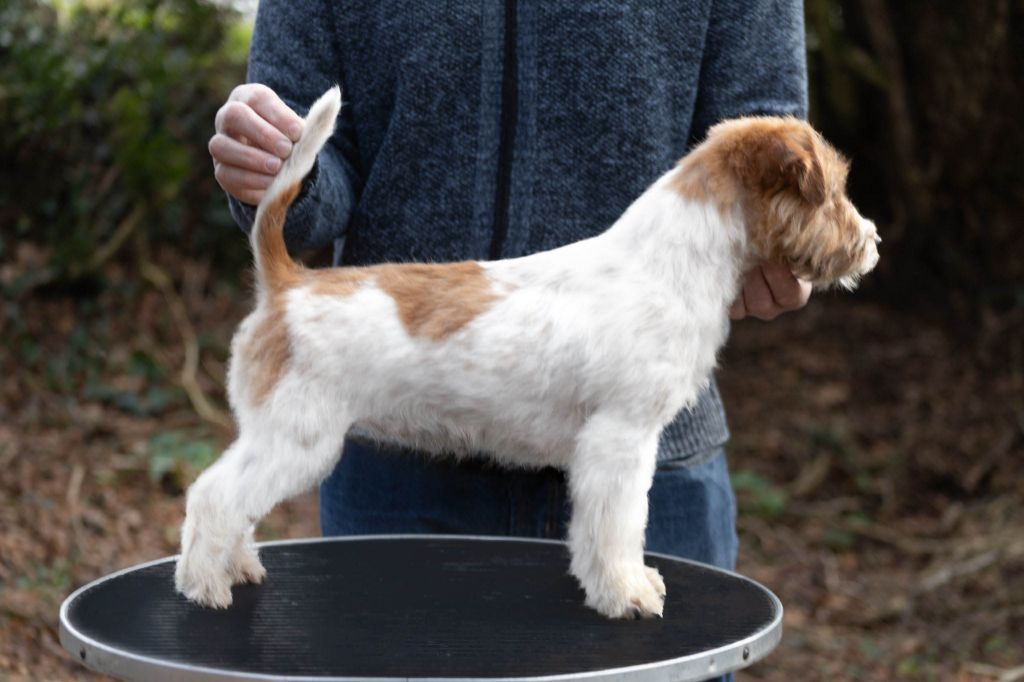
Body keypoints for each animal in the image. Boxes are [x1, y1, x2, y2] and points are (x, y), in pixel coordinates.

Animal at [176, 84, 880, 614]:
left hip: (276, 437)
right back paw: (204, 585)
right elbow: (619, 525)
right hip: (296, 438)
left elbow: (601, 530)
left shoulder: (610, 448)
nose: (872, 242)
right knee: (214, 496)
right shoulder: (622, 440)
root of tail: (287, 281)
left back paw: (235, 568)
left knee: (230, 499)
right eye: (833, 190)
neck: (666, 261)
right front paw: (626, 593)